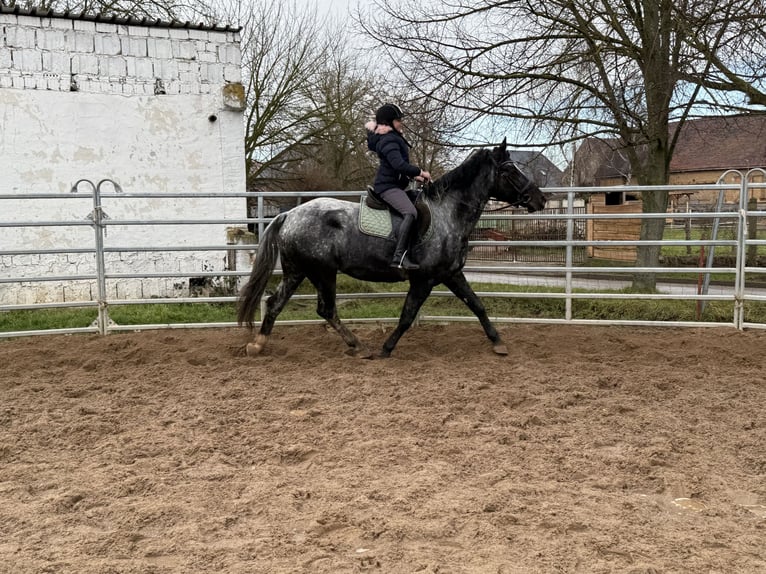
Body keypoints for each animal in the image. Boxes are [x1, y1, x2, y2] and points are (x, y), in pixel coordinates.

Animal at [238, 138, 544, 360]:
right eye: (509, 170)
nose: (539, 199)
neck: (449, 213)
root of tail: (289, 214)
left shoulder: (452, 274)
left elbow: (477, 305)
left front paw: (498, 342)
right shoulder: (424, 280)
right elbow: (407, 316)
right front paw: (386, 348)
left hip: (297, 271)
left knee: (275, 303)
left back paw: (258, 345)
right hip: (322, 272)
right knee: (325, 309)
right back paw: (357, 346)